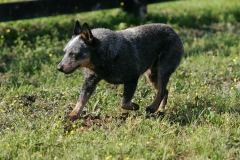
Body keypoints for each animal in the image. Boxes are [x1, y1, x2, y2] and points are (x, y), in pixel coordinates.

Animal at [56, 20, 184, 120]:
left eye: (73, 54)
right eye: (64, 52)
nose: (59, 68)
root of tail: (172, 30)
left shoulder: (132, 78)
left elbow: (124, 103)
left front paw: (135, 106)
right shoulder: (90, 80)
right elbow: (81, 99)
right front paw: (73, 115)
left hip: (164, 68)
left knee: (161, 90)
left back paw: (152, 108)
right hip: (151, 75)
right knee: (164, 90)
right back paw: (159, 110)